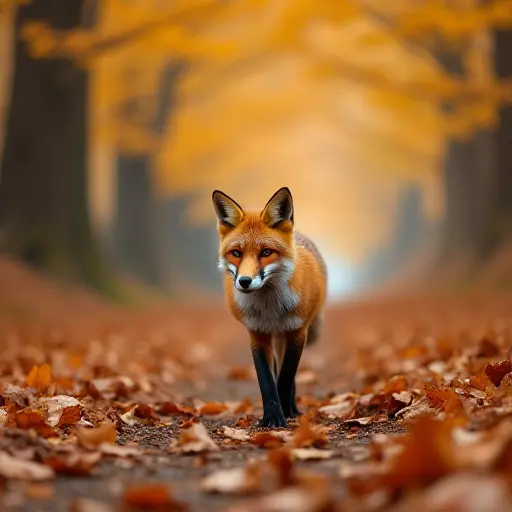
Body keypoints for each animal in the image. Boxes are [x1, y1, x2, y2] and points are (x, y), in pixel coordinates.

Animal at [212, 186, 328, 426]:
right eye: (236, 253)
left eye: (266, 252)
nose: (244, 281)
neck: (271, 310)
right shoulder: (257, 334)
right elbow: (267, 381)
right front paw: (272, 417)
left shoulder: (297, 332)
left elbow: (285, 378)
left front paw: (284, 414)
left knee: (289, 378)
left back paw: (292, 409)